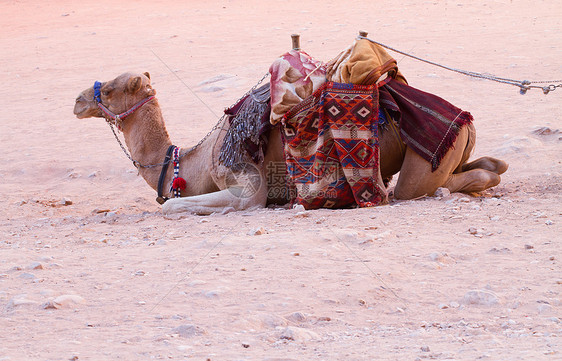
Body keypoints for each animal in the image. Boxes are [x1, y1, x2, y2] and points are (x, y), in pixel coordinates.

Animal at [72, 71, 506, 215]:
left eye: (109, 90)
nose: (78, 100)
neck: (189, 161)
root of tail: (464, 119)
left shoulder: (242, 177)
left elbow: (175, 206)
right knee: (490, 168)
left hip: (425, 165)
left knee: (423, 187)